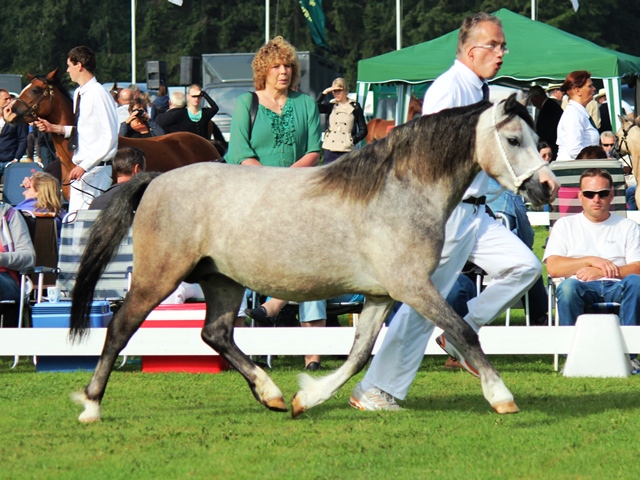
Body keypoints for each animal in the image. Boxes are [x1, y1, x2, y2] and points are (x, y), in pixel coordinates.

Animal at [70, 95, 556, 422]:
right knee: (120, 327)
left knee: (216, 333)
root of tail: (155, 180)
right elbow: (462, 330)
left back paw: (271, 394)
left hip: (223, 280)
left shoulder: (380, 295)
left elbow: (359, 355)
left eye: (536, 137)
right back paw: (91, 405)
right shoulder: (413, 286)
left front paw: (307, 399)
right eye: (514, 139)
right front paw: (501, 396)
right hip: (159, 276)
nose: (547, 187)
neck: (397, 191)